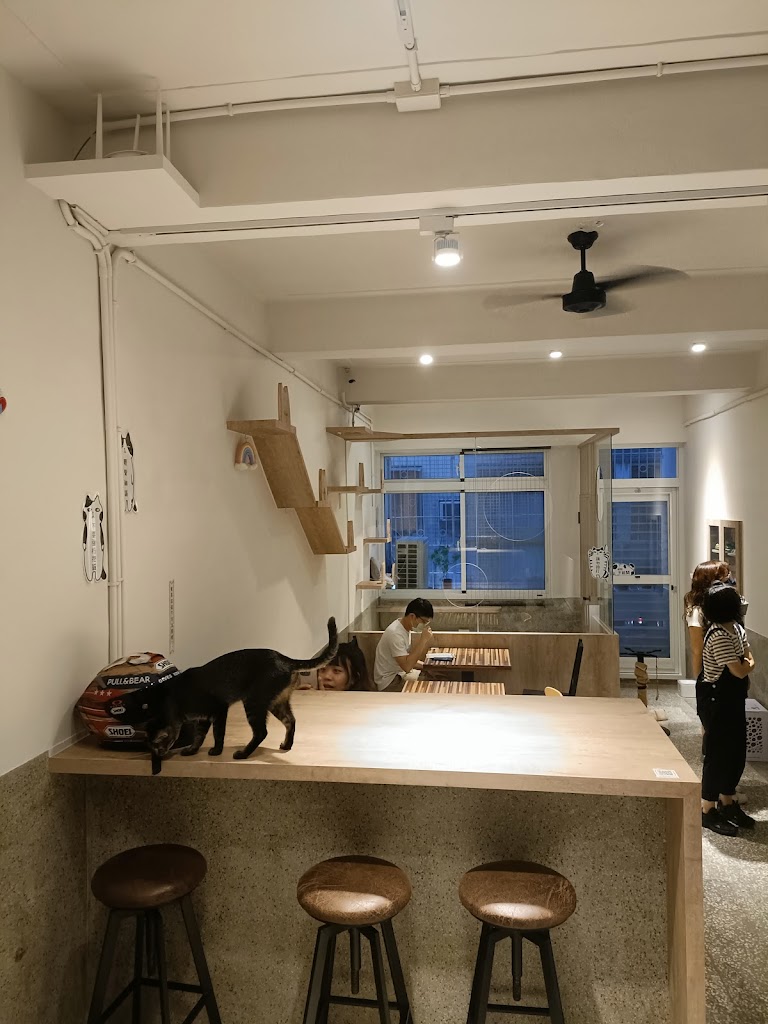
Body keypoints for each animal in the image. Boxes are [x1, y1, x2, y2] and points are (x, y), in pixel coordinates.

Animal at [112, 617, 337, 770]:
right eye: (148, 745)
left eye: (157, 743)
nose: (156, 754)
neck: (175, 700)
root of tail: (285, 658)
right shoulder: (203, 718)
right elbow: (199, 736)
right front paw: (192, 750)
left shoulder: (218, 709)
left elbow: (217, 734)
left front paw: (216, 752)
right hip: (276, 702)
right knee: (291, 721)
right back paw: (286, 745)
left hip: (254, 702)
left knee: (261, 732)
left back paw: (243, 754)